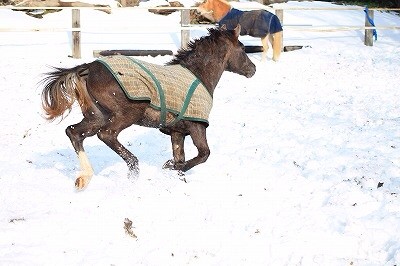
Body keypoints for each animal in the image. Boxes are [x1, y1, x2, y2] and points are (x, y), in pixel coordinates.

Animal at [40, 25, 256, 189]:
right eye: (242, 48)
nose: (253, 69)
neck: (199, 75)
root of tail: (88, 68)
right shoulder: (197, 127)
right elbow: (202, 155)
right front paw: (168, 167)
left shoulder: (177, 132)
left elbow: (181, 158)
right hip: (126, 114)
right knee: (106, 134)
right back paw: (133, 169)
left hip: (96, 116)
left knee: (74, 132)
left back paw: (84, 178)